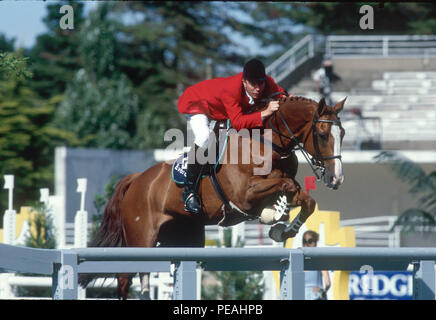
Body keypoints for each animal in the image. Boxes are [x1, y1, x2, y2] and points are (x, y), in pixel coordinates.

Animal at [77, 94, 344, 298]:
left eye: (341, 133)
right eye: (322, 134)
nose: (337, 178)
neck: (268, 144)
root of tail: (137, 179)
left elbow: (307, 200)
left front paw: (283, 229)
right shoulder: (245, 195)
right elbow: (286, 185)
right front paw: (276, 218)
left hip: (182, 237)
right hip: (141, 240)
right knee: (125, 278)